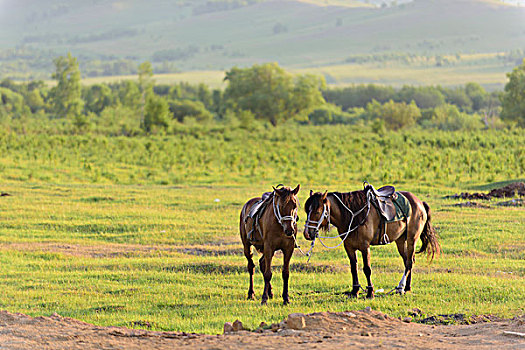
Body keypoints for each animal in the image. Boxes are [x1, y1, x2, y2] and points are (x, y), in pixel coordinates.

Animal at [302, 187, 438, 300]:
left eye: (317, 212)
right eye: (307, 211)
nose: (307, 233)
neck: (353, 215)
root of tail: (420, 203)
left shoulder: (364, 246)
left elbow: (367, 269)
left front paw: (370, 292)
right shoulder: (349, 247)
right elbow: (353, 268)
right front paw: (355, 291)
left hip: (411, 239)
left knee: (409, 262)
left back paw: (400, 287)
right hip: (400, 240)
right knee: (407, 261)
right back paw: (407, 287)